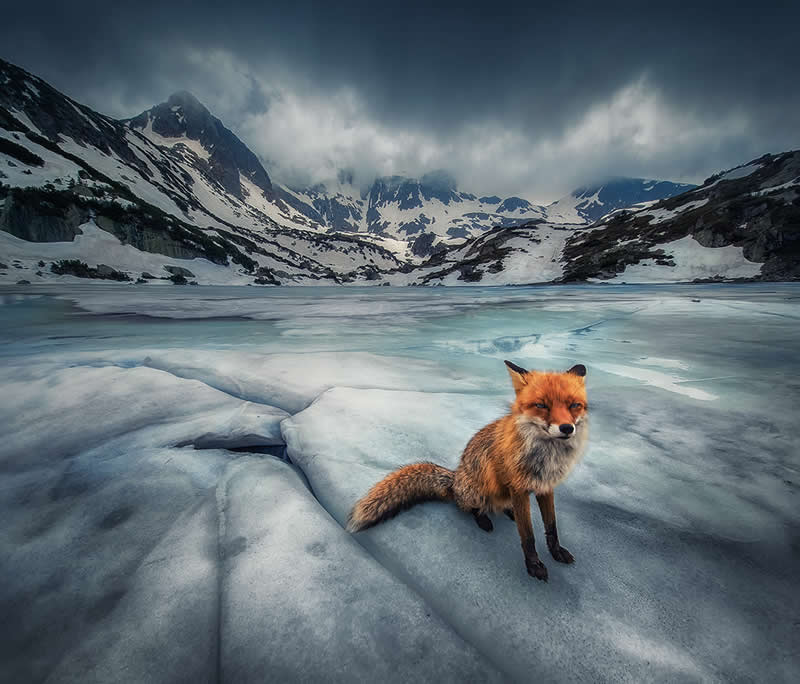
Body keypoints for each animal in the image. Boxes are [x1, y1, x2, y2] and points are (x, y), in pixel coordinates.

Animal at [347, 360, 589, 581]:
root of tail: (455, 479)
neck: (548, 457)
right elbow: (528, 536)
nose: (567, 428)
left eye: (574, 405)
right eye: (542, 405)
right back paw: (484, 520)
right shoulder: (519, 488)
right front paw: (534, 566)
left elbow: (552, 526)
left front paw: (557, 552)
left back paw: (508, 510)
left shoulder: (545, 487)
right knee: (471, 507)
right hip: (477, 492)